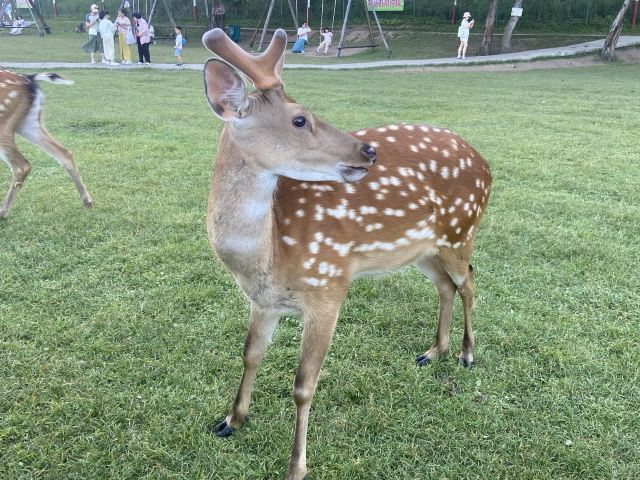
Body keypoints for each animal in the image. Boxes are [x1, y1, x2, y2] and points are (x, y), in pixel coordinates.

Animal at [0, 69, 93, 219]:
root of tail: (30, 78)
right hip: (30, 122)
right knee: (65, 153)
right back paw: (87, 202)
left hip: (4, 123)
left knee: (22, 166)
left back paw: (2, 213)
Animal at [201, 28, 492, 479]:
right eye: (299, 119)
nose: (368, 150)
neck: (267, 257)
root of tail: (487, 165)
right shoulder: (263, 302)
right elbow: (250, 355)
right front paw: (231, 420)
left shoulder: (329, 287)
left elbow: (303, 386)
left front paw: (296, 466)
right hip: (422, 250)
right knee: (445, 286)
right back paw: (432, 352)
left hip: (461, 231)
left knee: (470, 283)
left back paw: (466, 354)